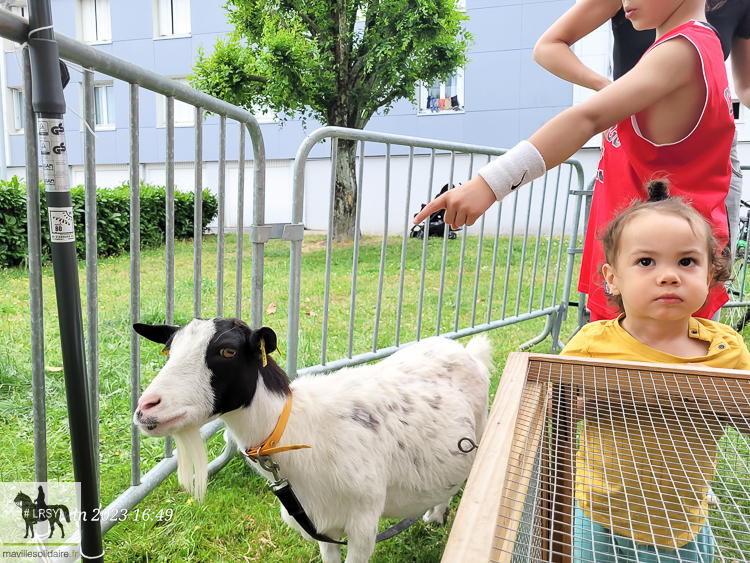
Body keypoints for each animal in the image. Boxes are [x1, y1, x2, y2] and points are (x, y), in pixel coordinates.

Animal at [134, 320, 494, 560]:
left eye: (228, 351)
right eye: (169, 350)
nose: (145, 408)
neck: (297, 430)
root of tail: (467, 350)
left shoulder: (363, 523)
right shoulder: (321, 523)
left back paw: (436, 515)